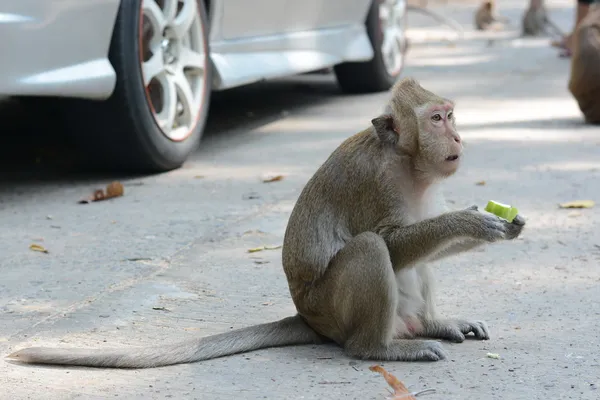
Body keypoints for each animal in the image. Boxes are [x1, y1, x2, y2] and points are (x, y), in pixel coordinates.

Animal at [7, 77, 524, 368]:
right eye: (436, 119)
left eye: (451, 115)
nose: (457, 136)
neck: (408, 164)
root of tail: (309, 319)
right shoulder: (374, 181)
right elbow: (392, 242)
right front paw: (473, 222)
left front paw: (506, 226)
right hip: (333, 311)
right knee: (370, 250)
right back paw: (377, 350)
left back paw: (432, 324)